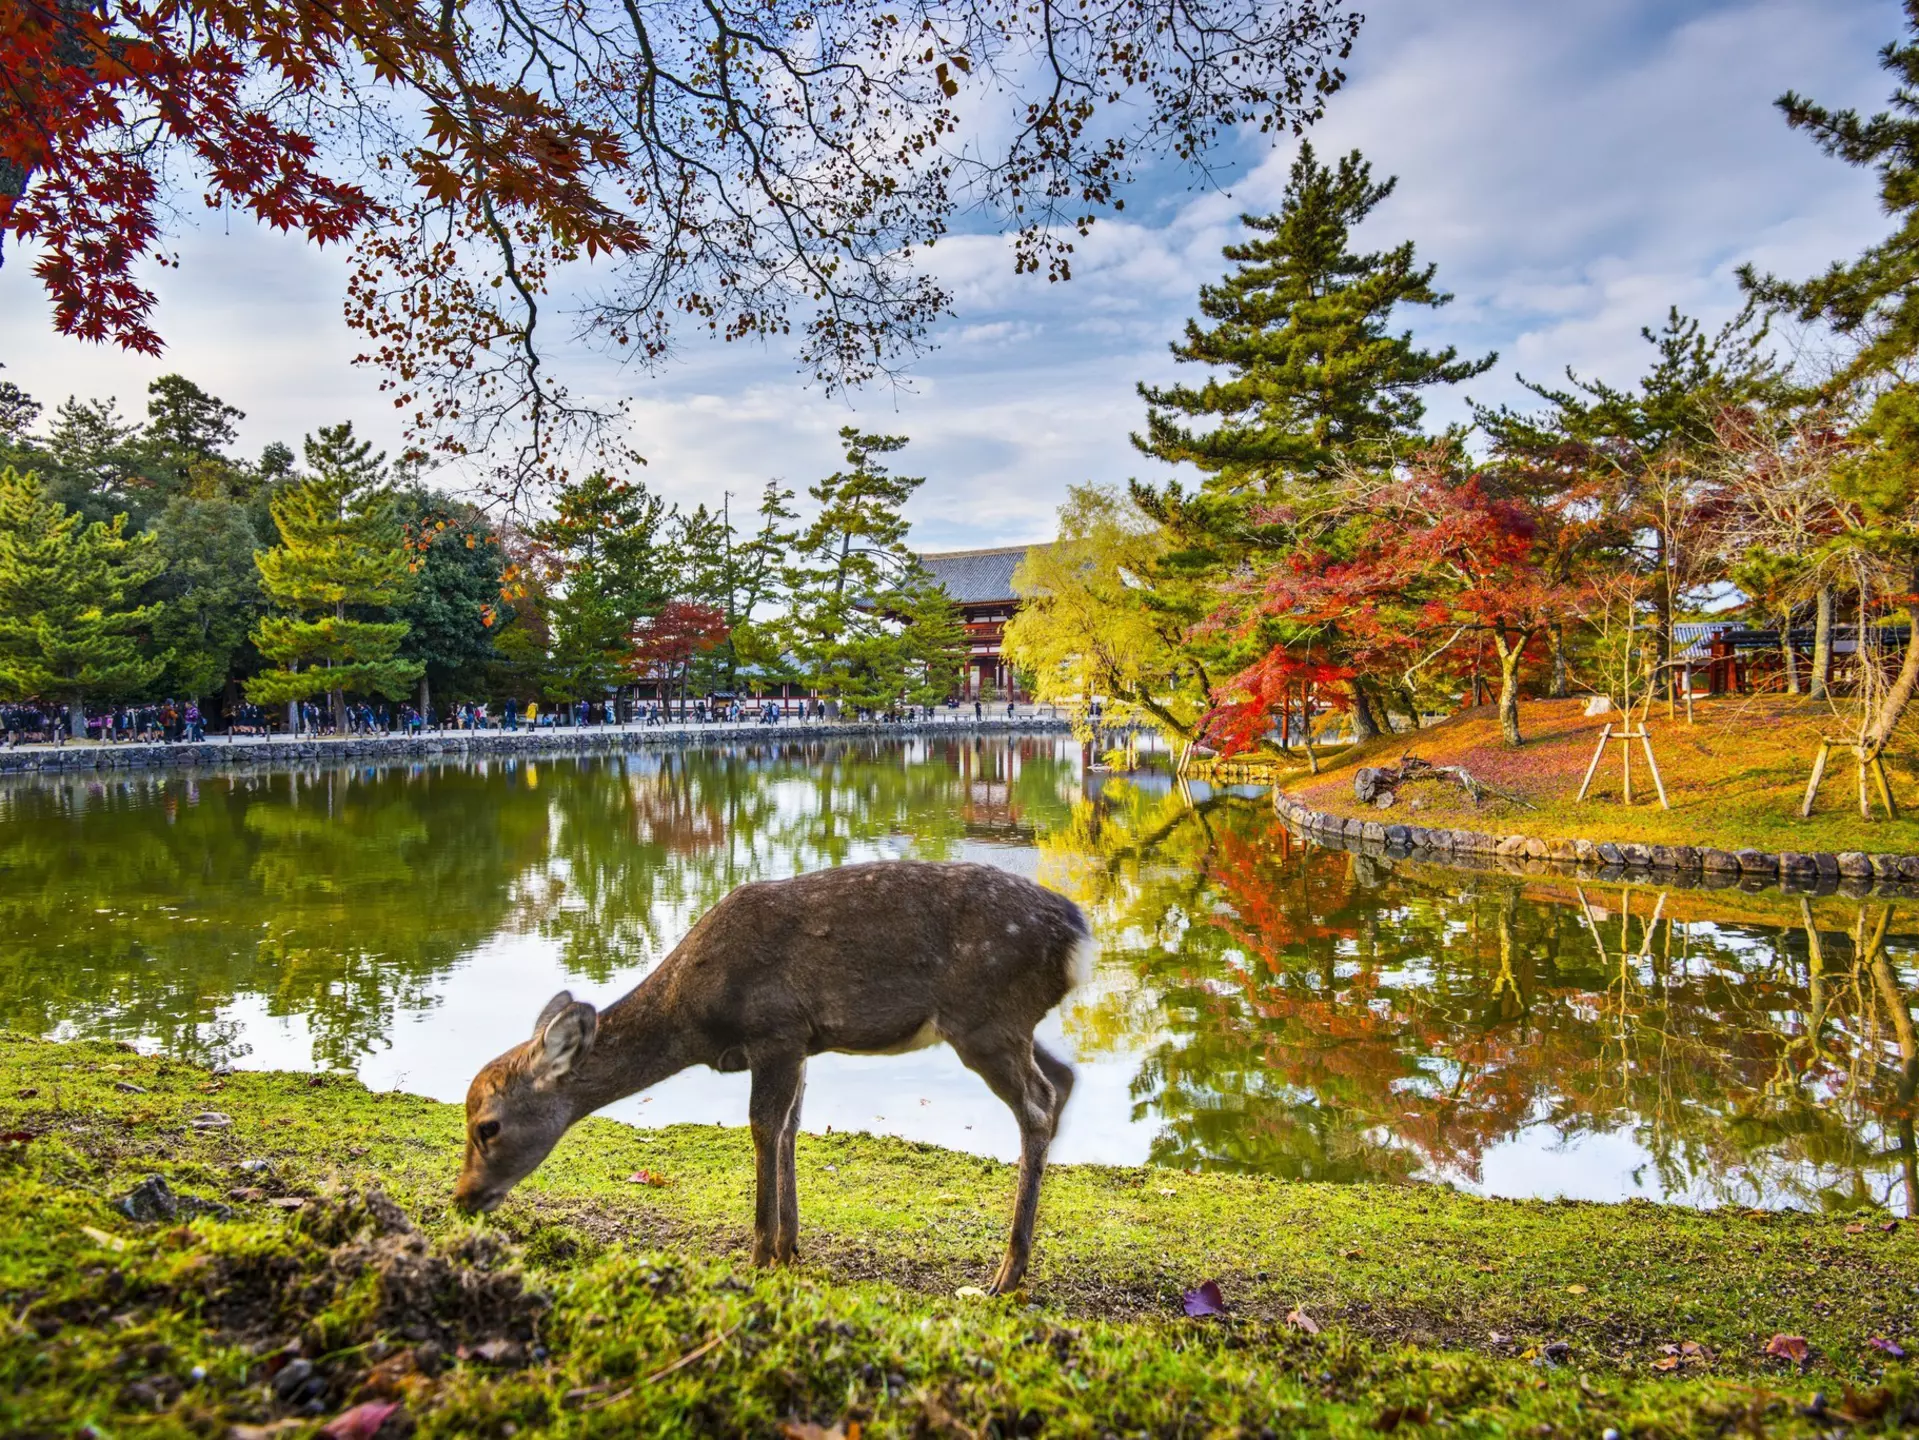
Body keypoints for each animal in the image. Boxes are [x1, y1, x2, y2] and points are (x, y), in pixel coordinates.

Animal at [454, 860, 1095, 1295]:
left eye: (487, 1126)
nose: (462, 1198)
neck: (695, 1015)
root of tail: (1078, 936)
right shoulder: (802, 1042)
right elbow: (791, 1126)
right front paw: (789, 1247)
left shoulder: (776, 1029)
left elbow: (764, 1125)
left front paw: (761, 1253)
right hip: (1006, 1023)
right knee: (1063, 1078)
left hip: (985, 1017)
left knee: (1037, 1102)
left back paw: (1006, 1274)